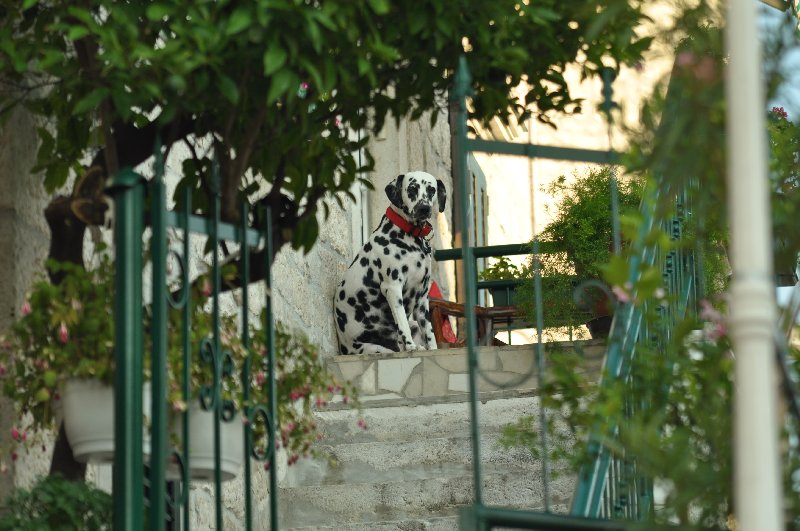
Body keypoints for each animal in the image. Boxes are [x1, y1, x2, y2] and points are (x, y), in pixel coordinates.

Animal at [334, 172, 446, 355]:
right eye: (412, 188)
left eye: (431, 190)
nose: (424, 208)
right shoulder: (393, 289)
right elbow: (402, 325)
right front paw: (410, 346)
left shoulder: (422, 298)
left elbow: (429, 331)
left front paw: (433, 348)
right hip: (374, 349)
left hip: (414, 324)